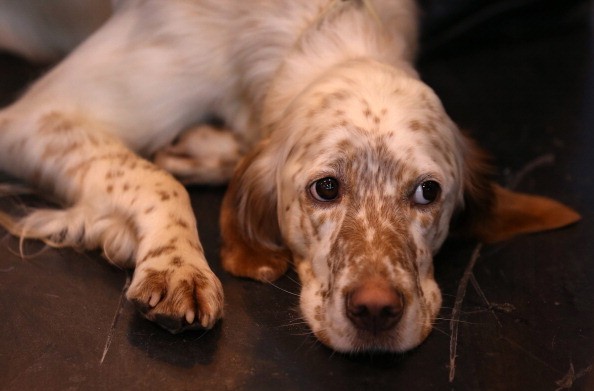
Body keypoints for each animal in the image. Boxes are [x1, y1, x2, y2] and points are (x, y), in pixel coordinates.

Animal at [0, 0, 576, 354]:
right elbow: (156, 178)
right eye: (326, 188)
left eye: (427, 191)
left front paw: (208, 150)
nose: (376, 311)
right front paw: (177, 265)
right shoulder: (34, 117)